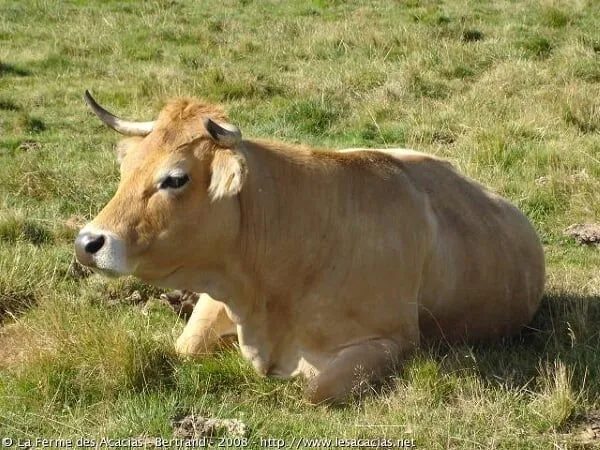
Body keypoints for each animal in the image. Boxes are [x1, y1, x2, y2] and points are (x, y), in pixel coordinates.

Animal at [74, 91, 544, 404]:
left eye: (175, 178)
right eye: (128, 169)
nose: (87, 242)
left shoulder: (391, 341)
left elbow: (314, 389)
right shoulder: (217, 298)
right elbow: (185, 348)